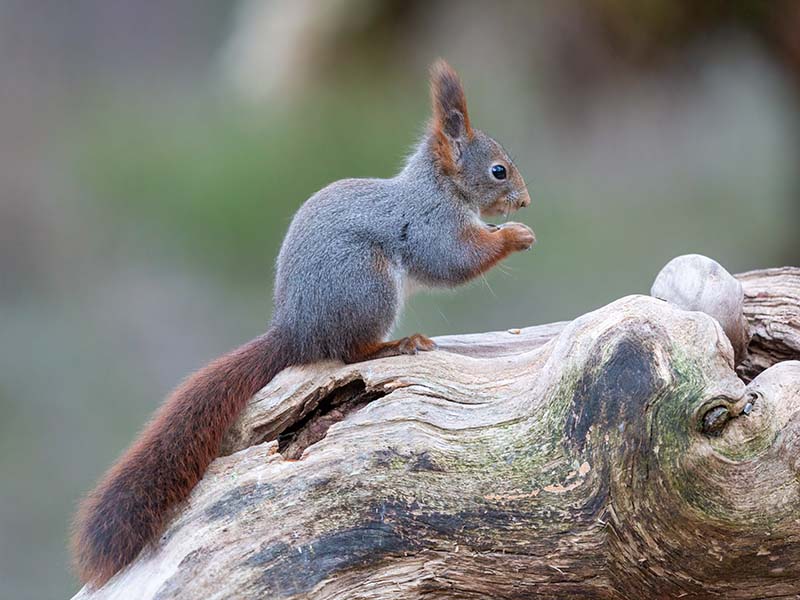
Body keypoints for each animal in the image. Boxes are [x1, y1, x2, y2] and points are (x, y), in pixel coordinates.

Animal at [71, 59, 534, 587]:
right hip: (368, 287)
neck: (439, 187)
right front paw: (515, 236)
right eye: (498, 170)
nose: (524, 201)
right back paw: (396, 346)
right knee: (350, 352)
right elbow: (454, 261)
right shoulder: (430, 225)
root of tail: (295, 330)